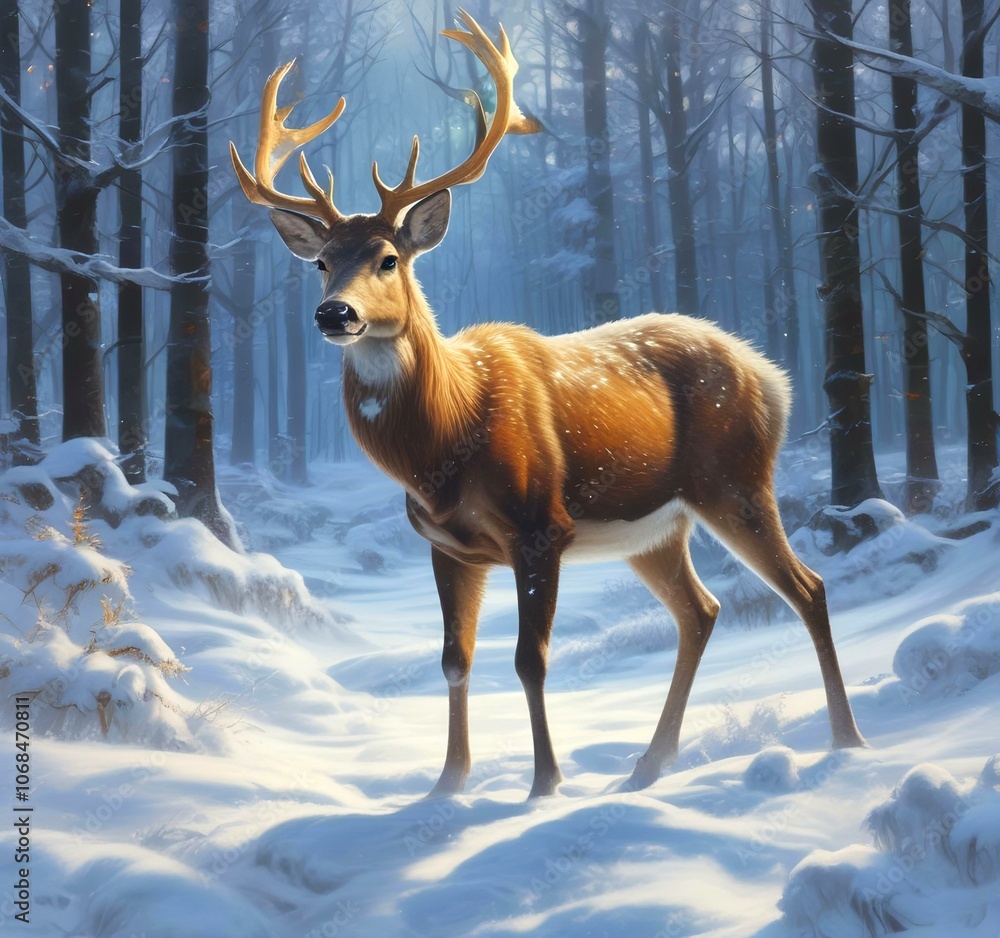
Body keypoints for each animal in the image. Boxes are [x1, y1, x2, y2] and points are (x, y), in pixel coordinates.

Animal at [230, 11, 866, 799]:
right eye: (320, 262)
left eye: (388, 258)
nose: (334, 314)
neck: (448, 438)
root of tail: (772, 375)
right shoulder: (447, 545)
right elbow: (455, 660)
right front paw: (447, 784)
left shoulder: (542, 526)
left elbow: (529, 659)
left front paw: (544, 785)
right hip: (658, 527)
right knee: (701, 610)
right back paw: (647, 765)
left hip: (736, 481)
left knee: (807, 587)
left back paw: (846, 739)